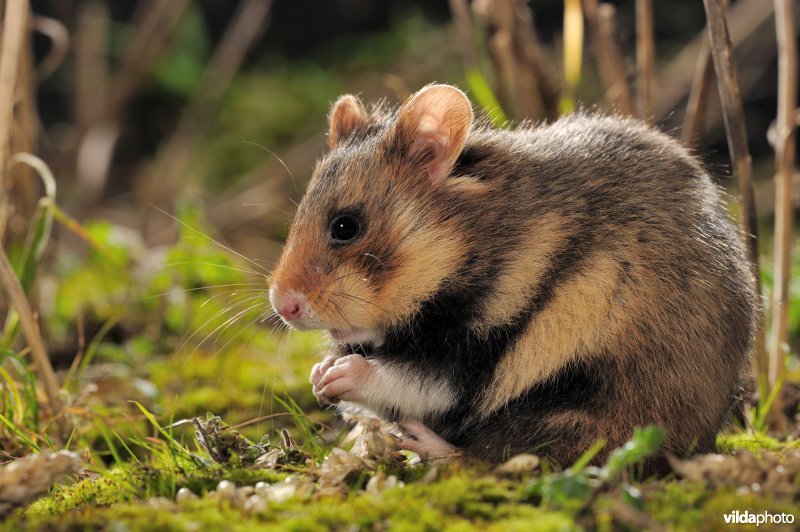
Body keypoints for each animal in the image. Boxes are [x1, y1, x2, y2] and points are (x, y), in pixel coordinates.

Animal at [268, 84, 756, 472]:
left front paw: (334, 375)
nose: (282, 305)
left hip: (579, 413)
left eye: (345, 226)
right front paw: (318, 373)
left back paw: (423, 445)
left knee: (492, 456)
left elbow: (410, 380)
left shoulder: (481, 346)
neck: (470, 245)